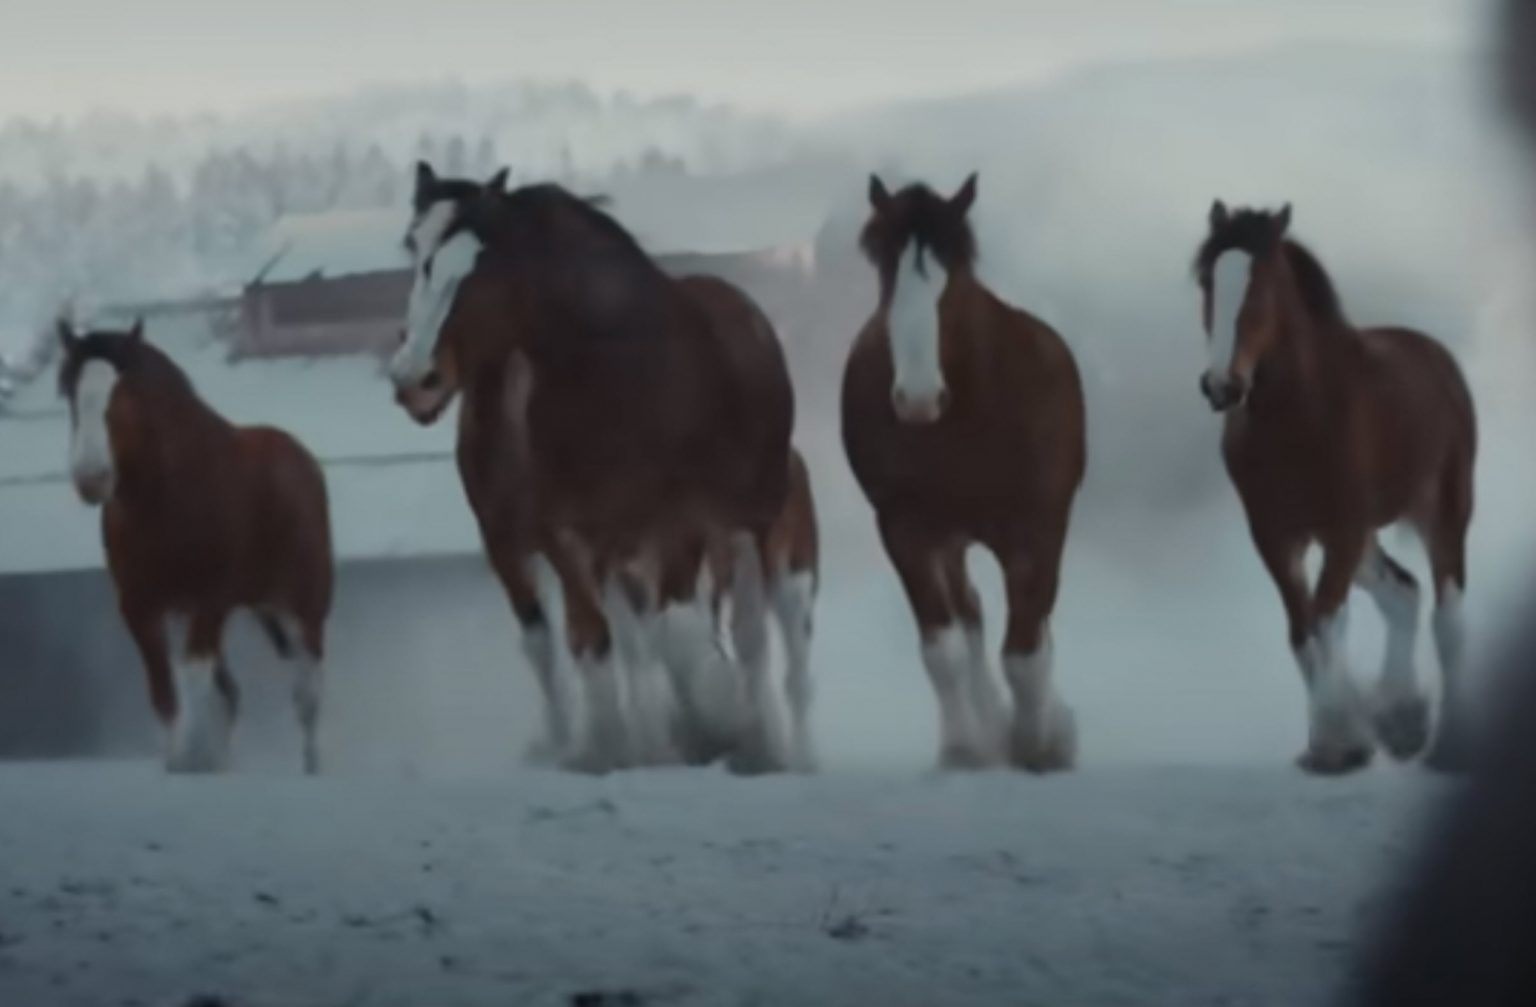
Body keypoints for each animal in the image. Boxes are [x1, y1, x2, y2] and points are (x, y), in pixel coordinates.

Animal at [57, 319, 333, 773]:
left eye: (126, 392)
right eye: (67, 390)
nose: (91, 479)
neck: (167, 499)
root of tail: (303, 460)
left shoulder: (212, 600)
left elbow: (192, 677)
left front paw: (191, 757)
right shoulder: (141, 608)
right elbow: (166, 694)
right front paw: (183, 761)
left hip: (303, 609)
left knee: (307, 699)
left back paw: (313, 770)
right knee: (231, 696)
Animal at [384, 165, 798, 773]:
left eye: (481, 266)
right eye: (415, 252)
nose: (415, 378)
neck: (619, 381)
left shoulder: (675, 533)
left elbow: (673, 637)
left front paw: (700, 726)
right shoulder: (563, 541)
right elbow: (593, 642)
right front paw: (610, 749)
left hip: (747, 524)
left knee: (746, 634)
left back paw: (761, 741)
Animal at [841, 173, 1093, 770]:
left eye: (950, 278)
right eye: (884, 269)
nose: (916, 397)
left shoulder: (1037, 528)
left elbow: (1025, 652)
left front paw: (1037, 746)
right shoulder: (907, 531)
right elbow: (944, 646)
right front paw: (964, 749)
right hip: (950, 539)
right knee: (972, 614)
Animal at [1185, 201, 1474, 773]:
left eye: (1261, 285)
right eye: (1207, 280)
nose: (1221, 386)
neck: (1303, 416)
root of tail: (1437, 357)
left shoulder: (1342, 528)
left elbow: (1326, 620)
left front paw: (1341, 742)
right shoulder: (1276, 535)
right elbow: (1302, 632)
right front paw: (1332, 740)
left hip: (1443, 511)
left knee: (1447, 615)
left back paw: (1451, 744)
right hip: (1364, 539)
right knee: (1403, 593)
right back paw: (1403, 721)